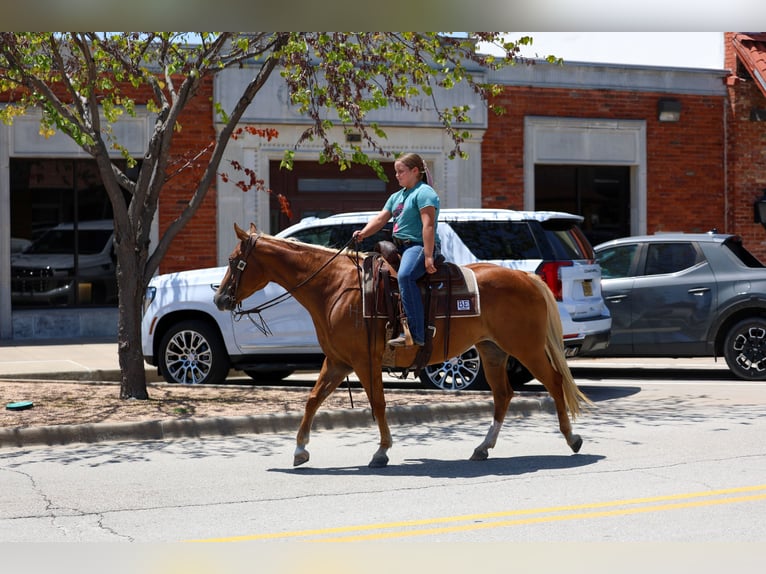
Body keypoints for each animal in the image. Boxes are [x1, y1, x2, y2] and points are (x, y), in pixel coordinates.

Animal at [214, 222, 591, 468]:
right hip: (492, 351)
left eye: (233, 261)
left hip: (526, 347)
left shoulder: (364, 361)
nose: (219, 299)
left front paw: (381, 451)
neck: (334, 287)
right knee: (503, 395)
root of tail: (525, 276)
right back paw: (483, 447)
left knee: (555, 382)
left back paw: (572, 439)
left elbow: (378, 404)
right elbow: (312, 400)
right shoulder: (337, 361)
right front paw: (300, 450)